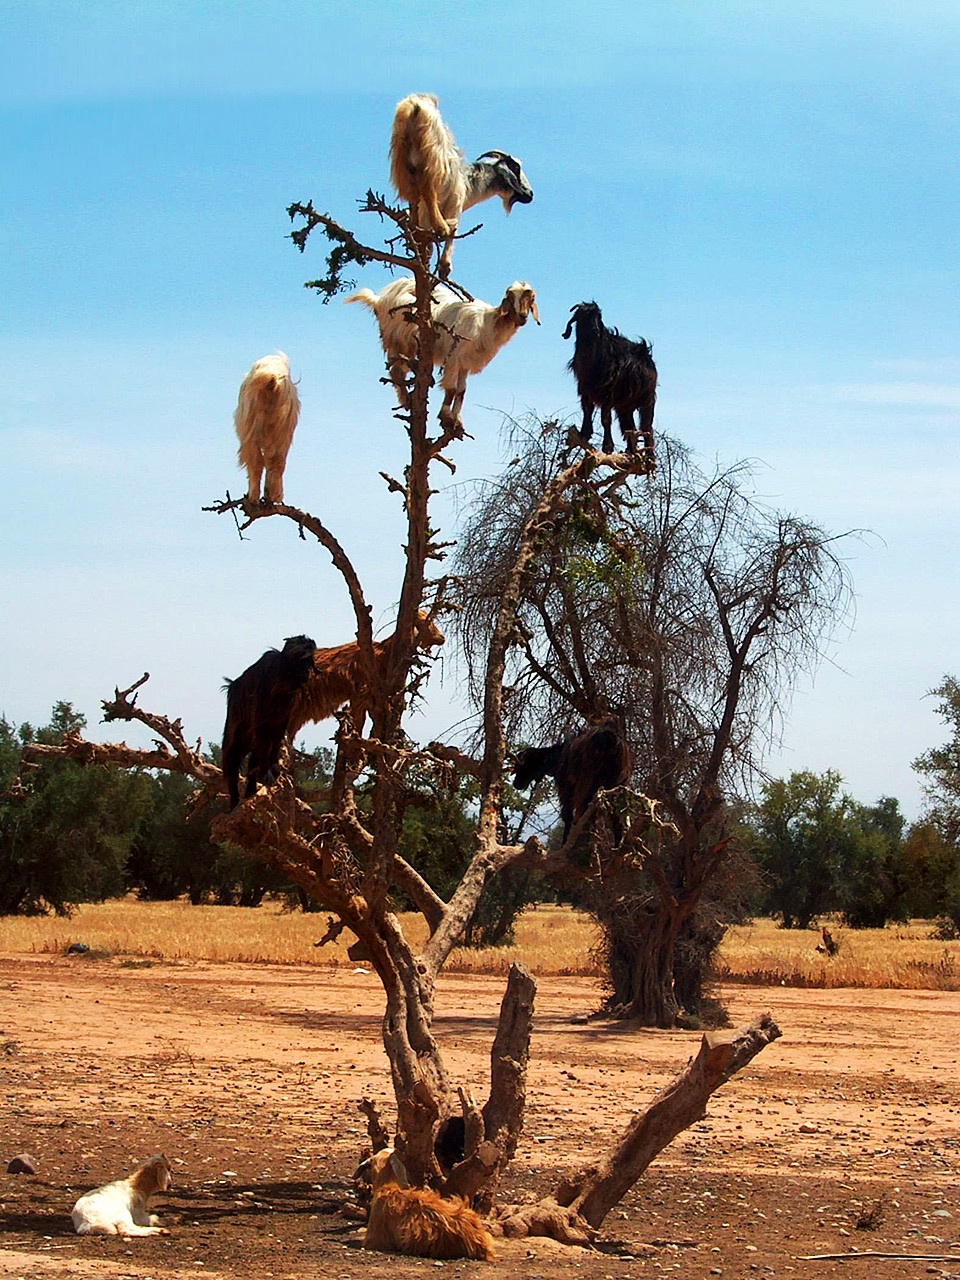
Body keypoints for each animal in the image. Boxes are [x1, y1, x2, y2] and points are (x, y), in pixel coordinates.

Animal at [221, 634, 317, 809]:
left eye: (310, 661)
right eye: (302, 660)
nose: (308, 672)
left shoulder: (281, 721)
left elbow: (275, 742)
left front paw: (274, 770)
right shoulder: (261, 721)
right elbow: (265, 745)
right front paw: (266, 775)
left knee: (252, 760)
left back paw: (250, 792)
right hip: (236, 734)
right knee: (232, 762)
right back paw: (234, 803)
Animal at [234, 352, 301, 505]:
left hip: (251, 426)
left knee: (256, 461)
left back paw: (253, 497)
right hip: (284, 430)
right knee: (277, 461)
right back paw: (273, 495)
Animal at [346, 276, 539, 429]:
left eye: (531, 299)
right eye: (511, 298)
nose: (522, 317)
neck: (488, 323)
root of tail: (379, 298)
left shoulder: (465, 363)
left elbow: (461, 391)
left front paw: (456, 420)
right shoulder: (454, 358)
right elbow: (451, 389)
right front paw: (445, 417)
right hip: (398, 338)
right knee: (396, 371)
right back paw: (407, 400)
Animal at [389, 92, 533, 278]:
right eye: (515, 167)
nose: (530, 194)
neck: (468, 185)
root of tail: (415, 106)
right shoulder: (455, 202)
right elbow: (454, 230)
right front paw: (444, 266)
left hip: (402, 159)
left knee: (413, 196)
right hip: (433, 157)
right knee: (429, 191)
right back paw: (440, 227)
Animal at [562, 302, 657, 459]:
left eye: (599, 316)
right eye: (583, 315)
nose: (595, 330)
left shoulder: (607, 391)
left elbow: (605, 419)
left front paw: (607, 447)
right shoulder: (584, 389)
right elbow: (587, 410)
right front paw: (584, 434)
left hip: (647, 400)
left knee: (646, 426)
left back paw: (649, 456)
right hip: (625, 406)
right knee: (630, 428)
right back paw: (630, 452)